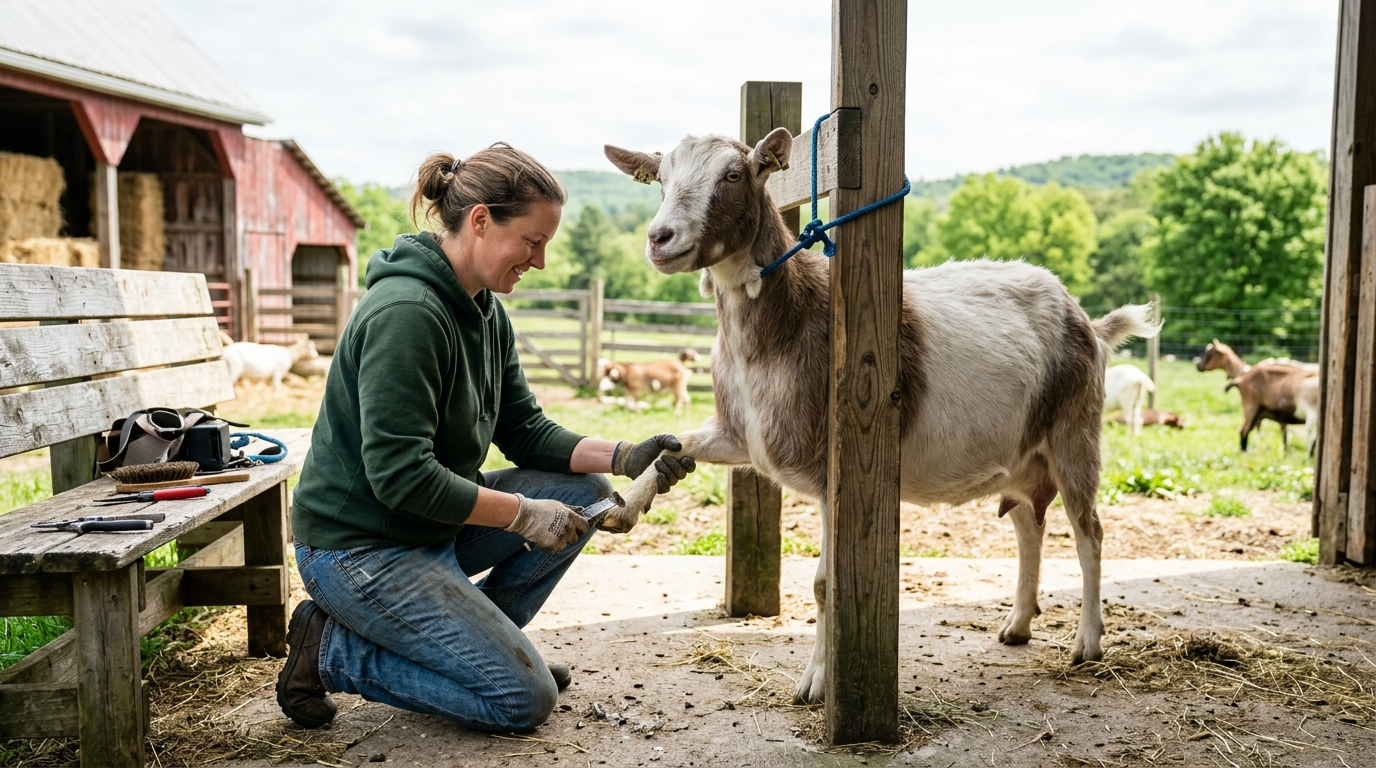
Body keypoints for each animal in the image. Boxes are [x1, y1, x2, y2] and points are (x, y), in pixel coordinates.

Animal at [603, 130, 1160, 704]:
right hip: (1021, 453)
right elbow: (678, 443)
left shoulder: (831, 468)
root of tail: (1090, 323)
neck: (777, 331)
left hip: (1075, 431)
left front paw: (817, 682)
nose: (660, 239)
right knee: (1030, 525)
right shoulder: (743, 435)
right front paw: (628, 502)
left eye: (734, 175)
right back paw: (1018, 624)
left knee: (1089, 532)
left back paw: (1087, 643)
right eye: (661, 180)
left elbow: (825, 584)